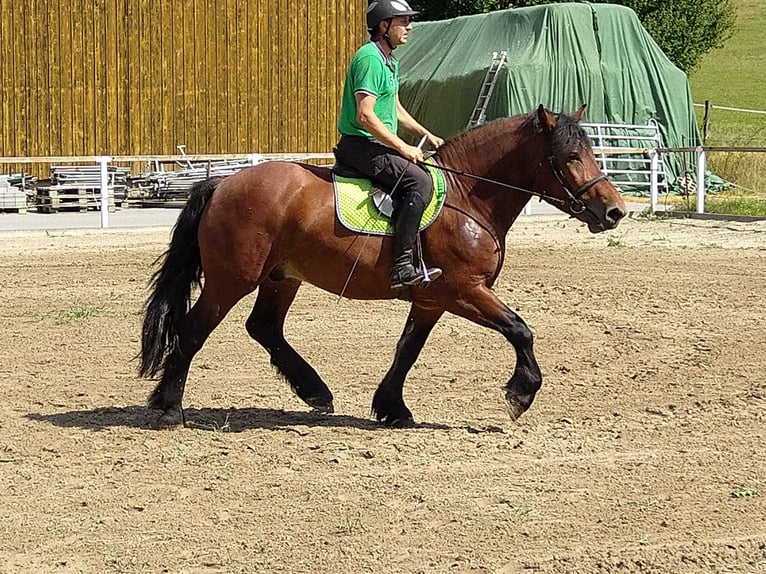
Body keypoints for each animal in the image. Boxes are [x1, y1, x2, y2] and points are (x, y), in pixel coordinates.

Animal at [141, 104, 628, 428]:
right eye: (570, 157)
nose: (615, 212)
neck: (468, 198)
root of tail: (221, 185)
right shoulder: (464, 290)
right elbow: (520, 330)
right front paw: (520, 393)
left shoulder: (432, 299)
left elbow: (407, 350)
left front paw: (393, 408)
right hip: (232, 279)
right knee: (192, 329)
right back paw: (169, 407)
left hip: (281, 278)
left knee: (263, 327)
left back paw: (314, 391)